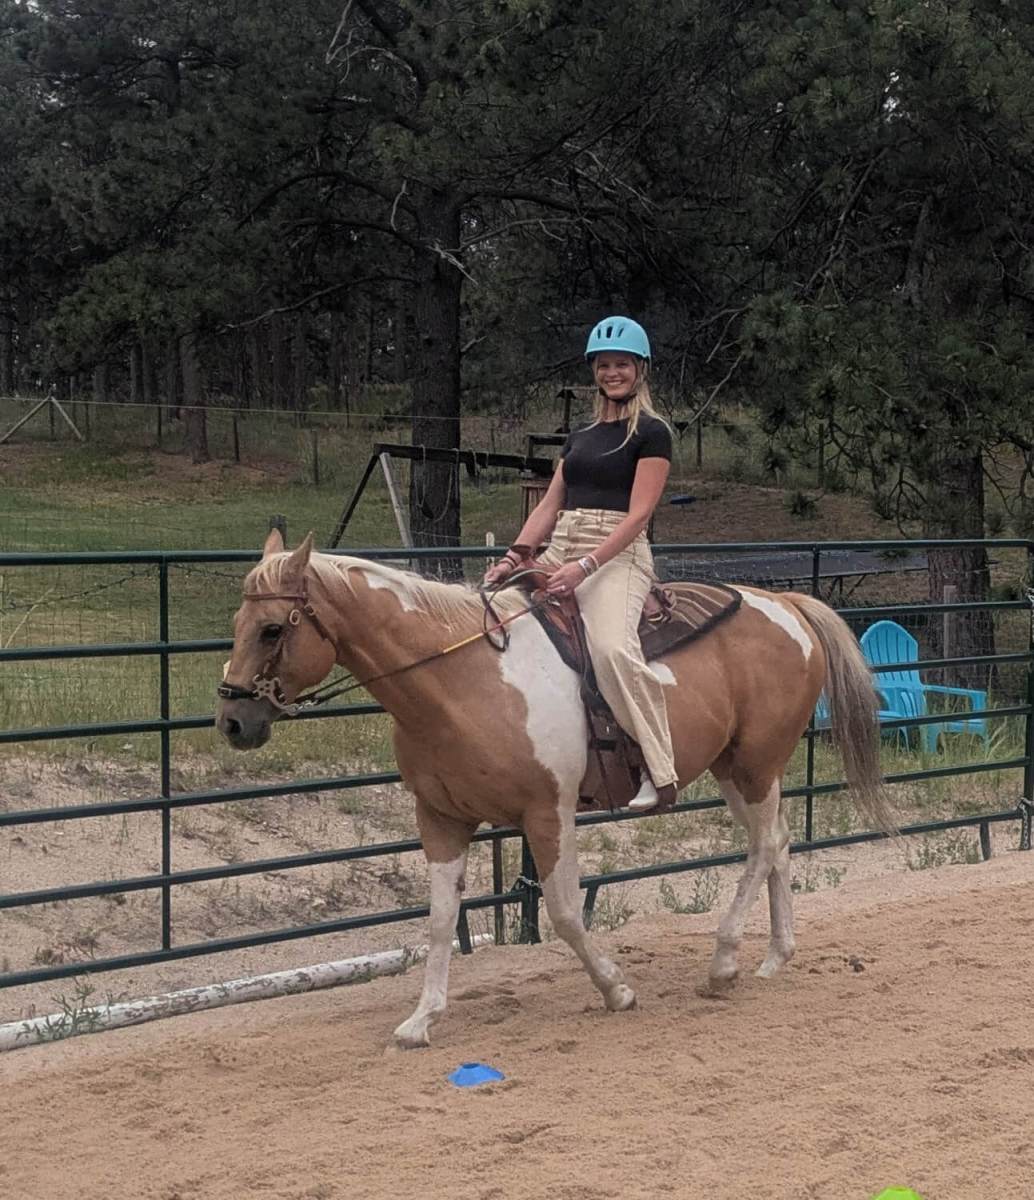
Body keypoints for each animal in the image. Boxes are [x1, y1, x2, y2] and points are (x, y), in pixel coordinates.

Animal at [216, 530, 893, 1049]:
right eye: (237, 622)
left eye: (272, 629)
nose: (232, 721)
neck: (464, 678)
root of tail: (785, 604)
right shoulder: (439, 819)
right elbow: (439, 921)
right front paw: (421, 1020)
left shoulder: (548, 814)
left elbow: (565, 913)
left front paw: (616, 989)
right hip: (739, 768)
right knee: (777, 841)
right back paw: (774, 955)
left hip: (755, 763)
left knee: (763, 846)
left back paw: (725, 960)